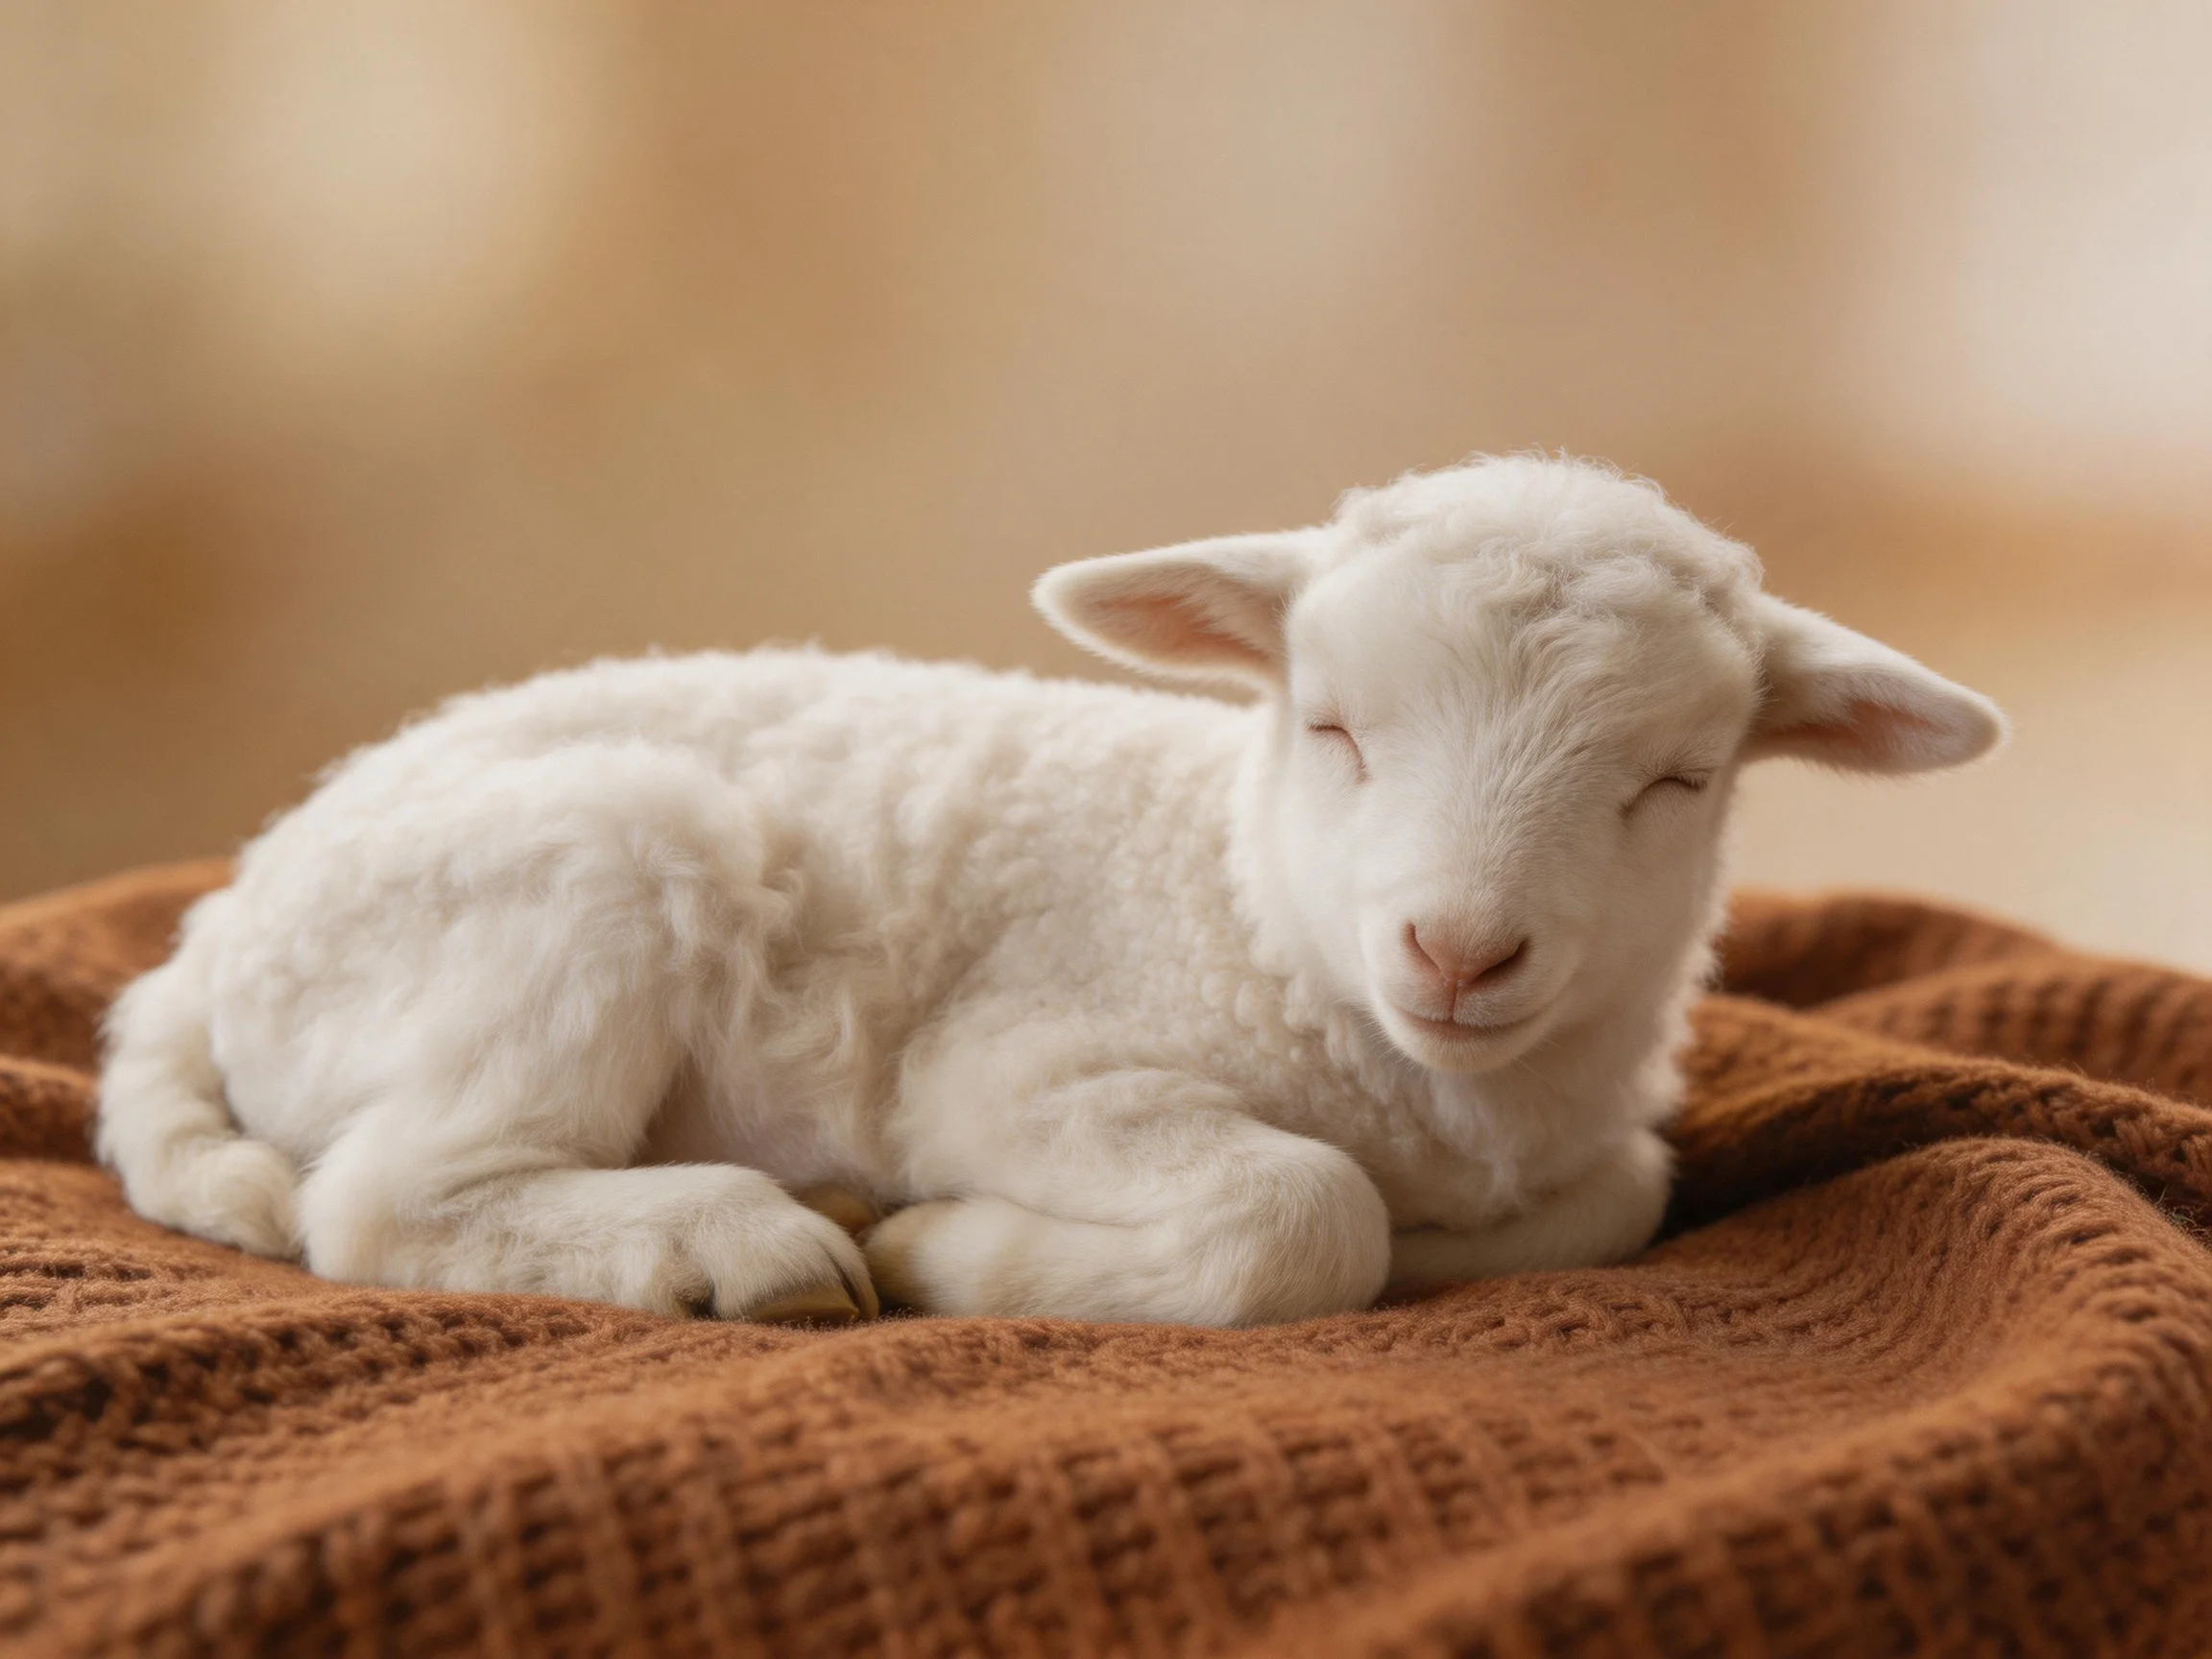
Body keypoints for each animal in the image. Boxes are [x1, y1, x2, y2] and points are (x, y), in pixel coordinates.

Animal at [95, 455, 2005, 1327]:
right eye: (1331, 725)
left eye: (1675, 781)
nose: (1458, 949)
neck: (1248, 905)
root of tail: (216, 935)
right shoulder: (1019, 1069)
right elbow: (1305, 1215)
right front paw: (949, 1250)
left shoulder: (1587, 1148)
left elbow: (1616, 1199)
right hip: (596, 860)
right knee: (385, 1199)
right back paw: (735, 1244)